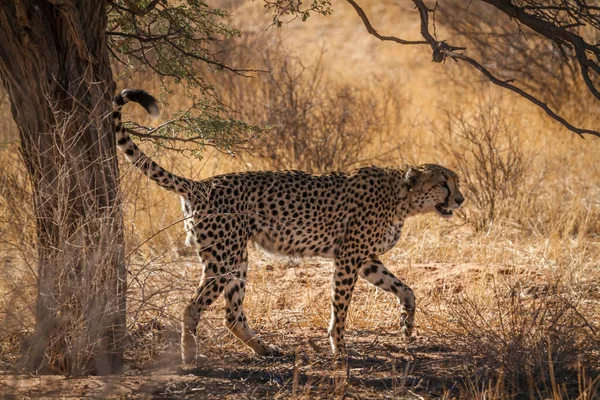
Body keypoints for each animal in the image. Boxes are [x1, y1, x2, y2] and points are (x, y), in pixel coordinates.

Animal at [115, 88, 466, 362]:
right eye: (444, 183)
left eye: (456, 181)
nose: (461, 200)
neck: (402, 197)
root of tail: (201, 183)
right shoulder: (348, 257)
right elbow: (340, 306)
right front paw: (339, 348)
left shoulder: (366, 259)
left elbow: (405, 288)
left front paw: (407, 323)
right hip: (223, 260)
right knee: (192, 307)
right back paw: (190, 356)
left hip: (237, 259)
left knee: (232, 315)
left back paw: (264, 349)